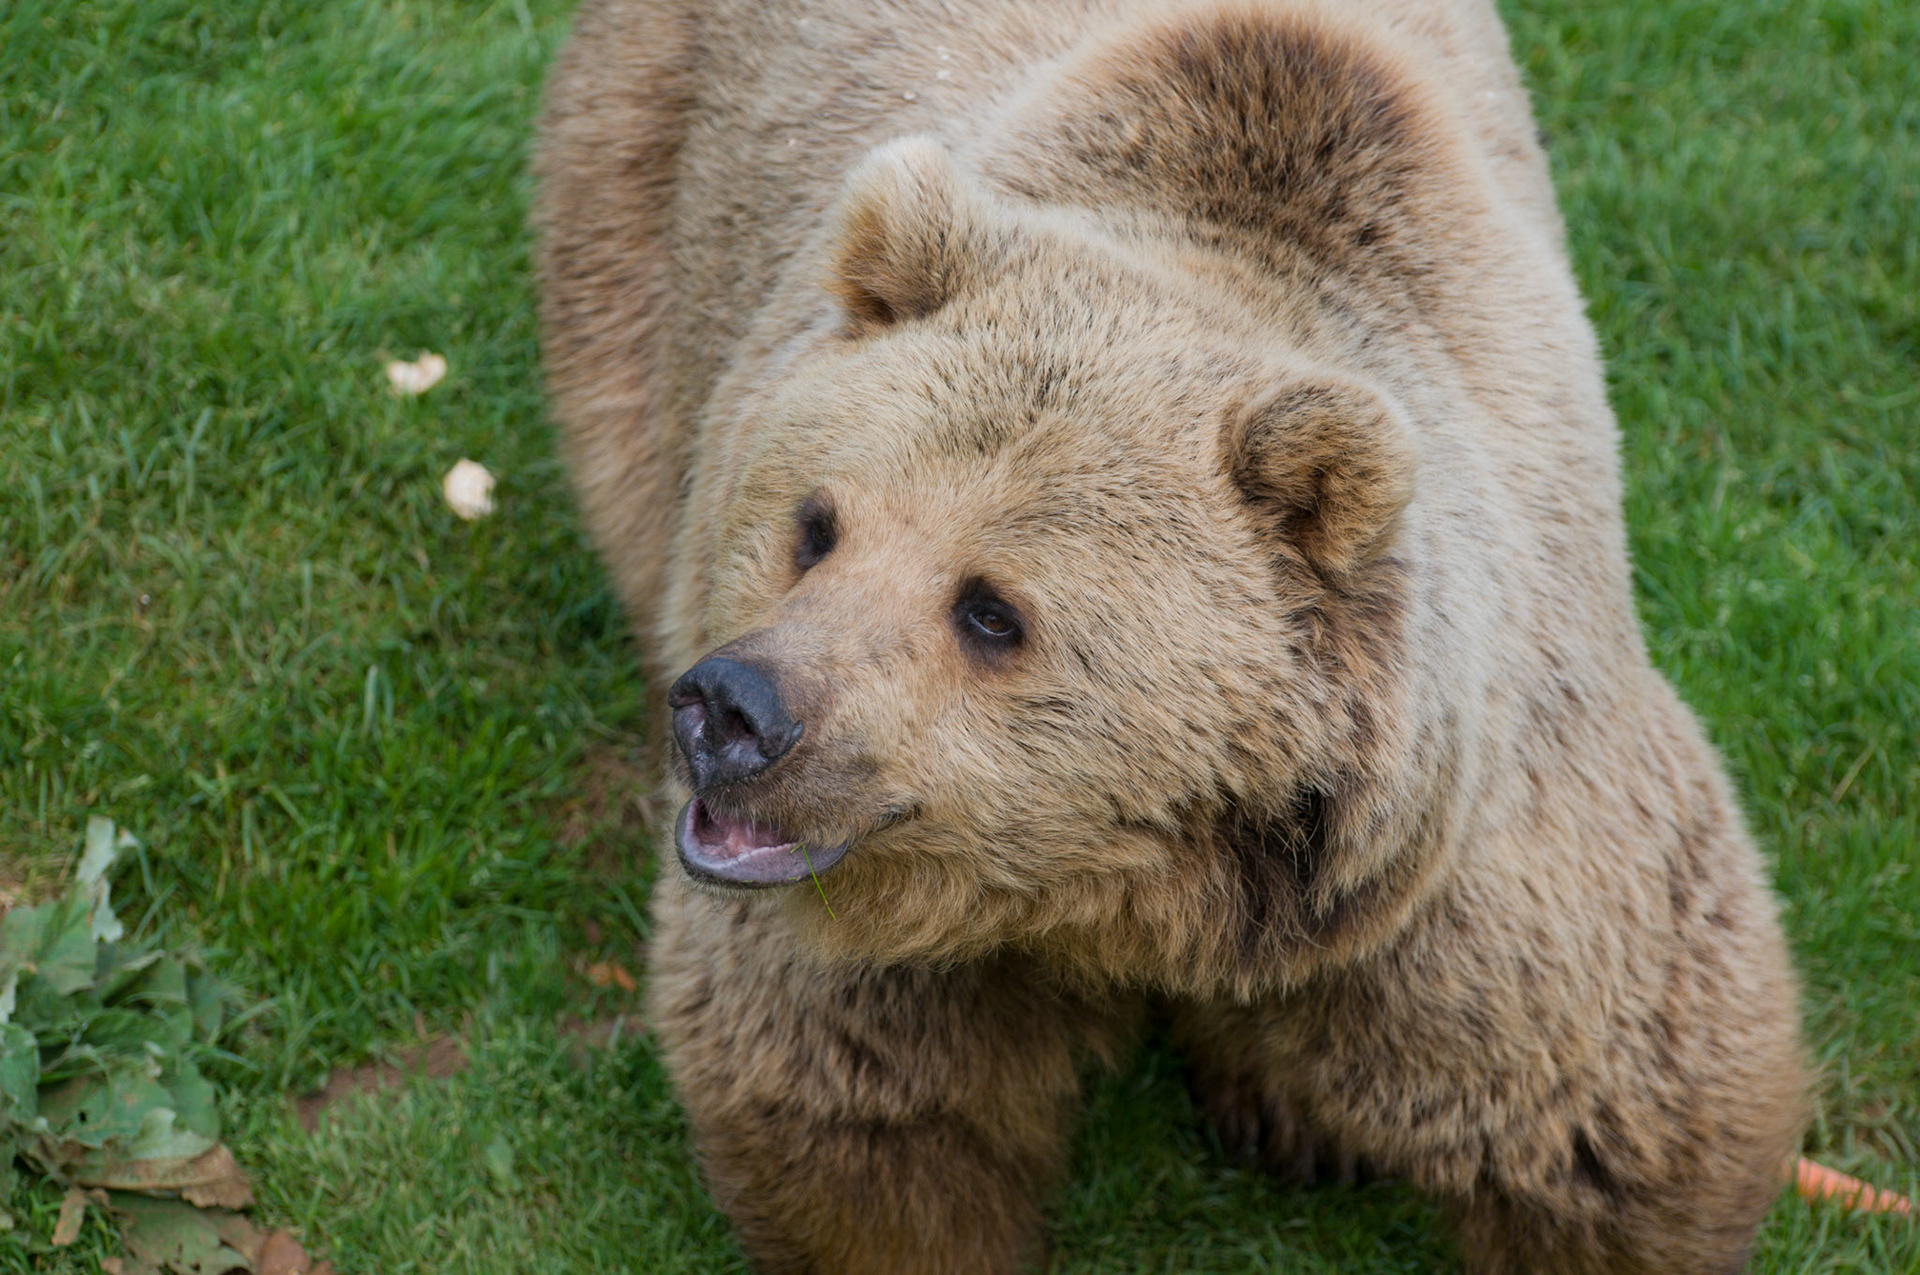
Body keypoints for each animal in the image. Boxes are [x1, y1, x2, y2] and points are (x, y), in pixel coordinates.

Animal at [533, 0, 1809, 1271]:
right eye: (816, 524)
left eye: (991, 610)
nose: (736, 711)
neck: (1127, 890)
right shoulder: (877, 946)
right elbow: (874, 1113)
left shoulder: (1459, 880)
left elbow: (1612, 1109)